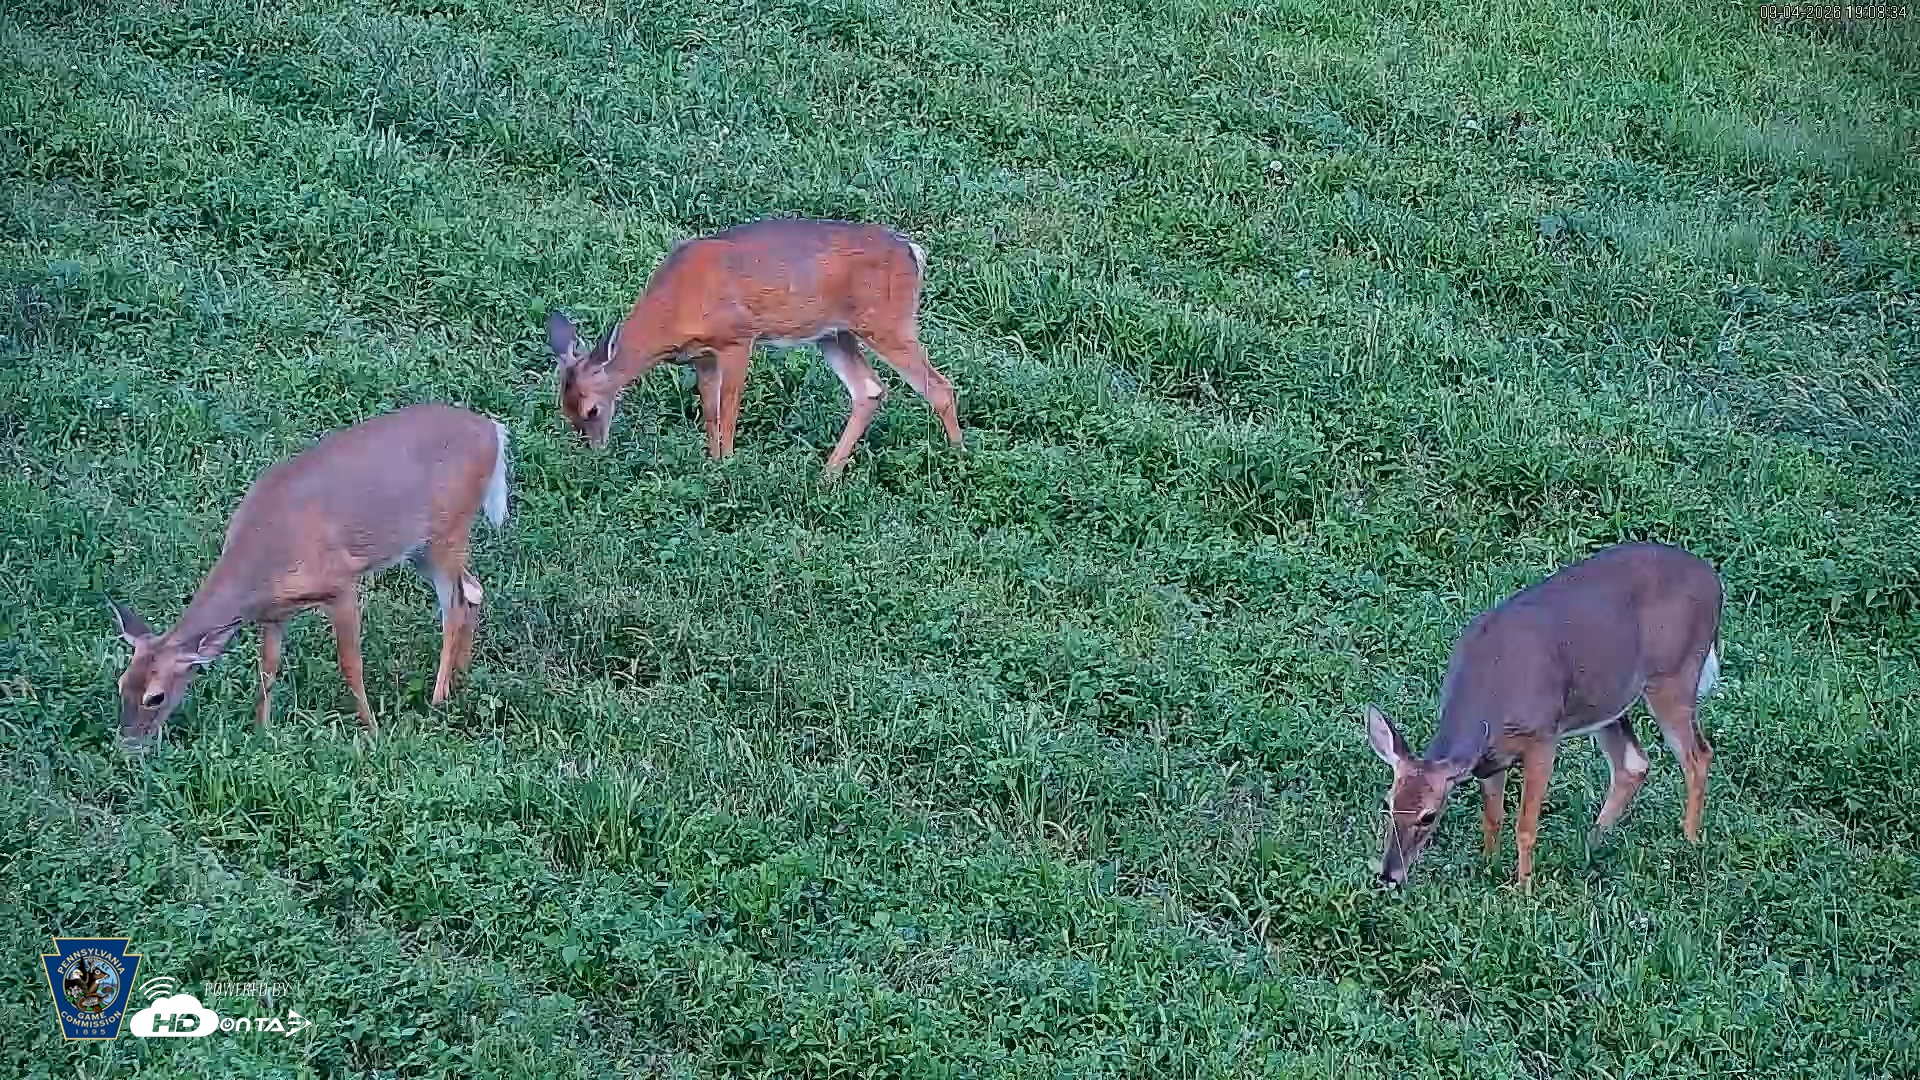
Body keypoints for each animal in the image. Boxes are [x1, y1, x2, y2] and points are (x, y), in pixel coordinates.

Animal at [107, 403, 510, 747]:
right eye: (121, 682)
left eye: (155, 696)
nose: (127, 745)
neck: (264, 557)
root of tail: (494, 431)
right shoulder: (274, 612)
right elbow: (267, 668)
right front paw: (262, 730)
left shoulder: (341, 585)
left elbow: (350, 664)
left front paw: (372, 730)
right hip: (421, 549)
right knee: (474, 590)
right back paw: (461, 677)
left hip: (448, 531)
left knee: (455, 605)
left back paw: (438, 699)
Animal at [545, 217, 964, 476]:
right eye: (566, 413)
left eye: (593, 409)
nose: (595, 452)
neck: (675, 307)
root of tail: (913, 251)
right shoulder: (702, 356)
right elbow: (710, 412)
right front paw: (712, 465)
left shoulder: (737, 337)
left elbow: (729, 410)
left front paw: (728, 465)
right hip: (834, 335)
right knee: (870, 390)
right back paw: (828, 474)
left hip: (887, 322)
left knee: (939, 386)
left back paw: (959, 456)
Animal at [1364, 542, 1723, 890]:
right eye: (1388, 803)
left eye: (1428, 815)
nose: (1389, 875)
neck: (1489, 694)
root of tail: (1714, 582)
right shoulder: (1491, 759)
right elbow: (1493, 816)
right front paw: (1488, 866)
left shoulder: (1543, 736)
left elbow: (1526, 825)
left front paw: (1524, 889)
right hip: (1607, 702)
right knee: (1634, 764)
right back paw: (1590, 843)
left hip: (1674, 675)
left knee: (1697, 756)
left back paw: (1689, 841)